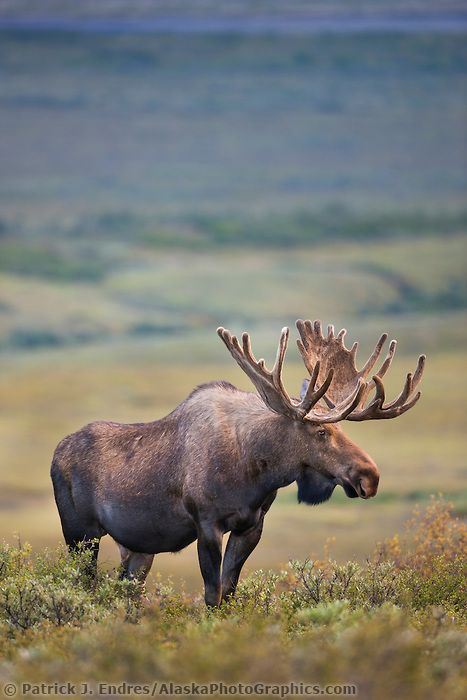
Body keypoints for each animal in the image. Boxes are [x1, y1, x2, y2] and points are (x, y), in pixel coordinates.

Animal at [51, 320, 424, 604]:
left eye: (341, 427)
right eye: (320, 431)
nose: (369, 476)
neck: (255, 470)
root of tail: (56, 454)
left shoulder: (251, 526)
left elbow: (229, 592)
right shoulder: (207, 524)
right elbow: (212, 594)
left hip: (136, 547)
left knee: (125, 592)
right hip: (80, 534)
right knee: (82, 586)